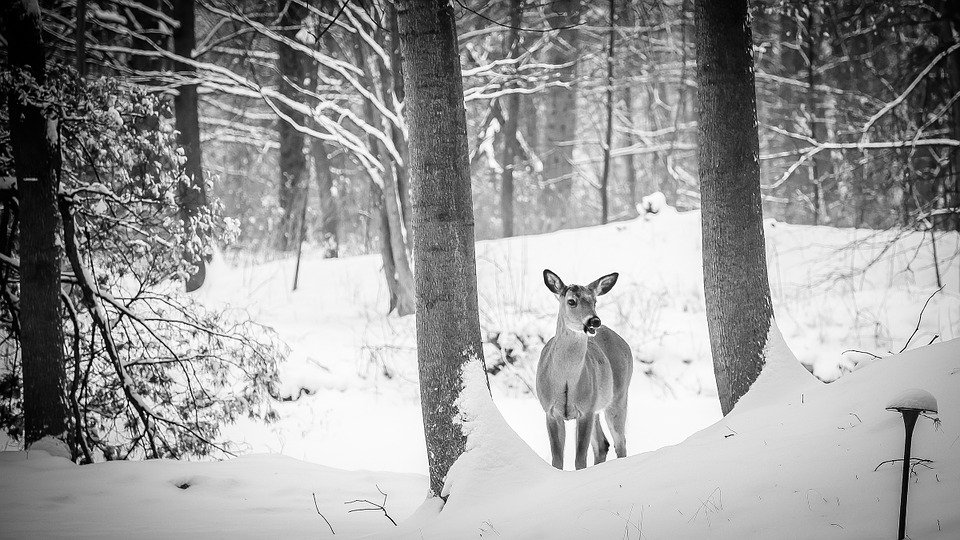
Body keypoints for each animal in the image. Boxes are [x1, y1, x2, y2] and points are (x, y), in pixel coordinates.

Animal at [536, 268, 632, 468]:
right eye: (571, 301)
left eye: (595, 301)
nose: (594, 321)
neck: (565, 380)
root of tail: (623, 342)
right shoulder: (550, 411)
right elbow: (557, 459)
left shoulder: (585, 410)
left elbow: (580, 459)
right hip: (598, 406)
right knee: (603, 444)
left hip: (619, 397)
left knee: (620, 442)